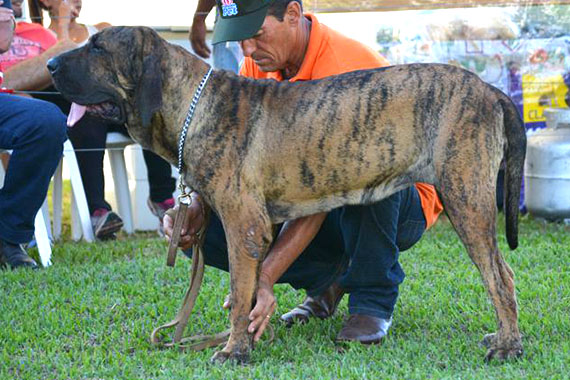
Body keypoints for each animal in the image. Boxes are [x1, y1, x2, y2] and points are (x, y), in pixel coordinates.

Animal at [48, 25, 524, 364]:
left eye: (98, 48)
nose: (50, 64)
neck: (191, 106)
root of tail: (490, 90)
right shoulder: (256, 225)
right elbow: (251, 287)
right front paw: (247, 336)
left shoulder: (242, 224)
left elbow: (241, 294)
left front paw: (234, 350)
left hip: (466, 199)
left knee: (500, 276)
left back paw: (508, 346)